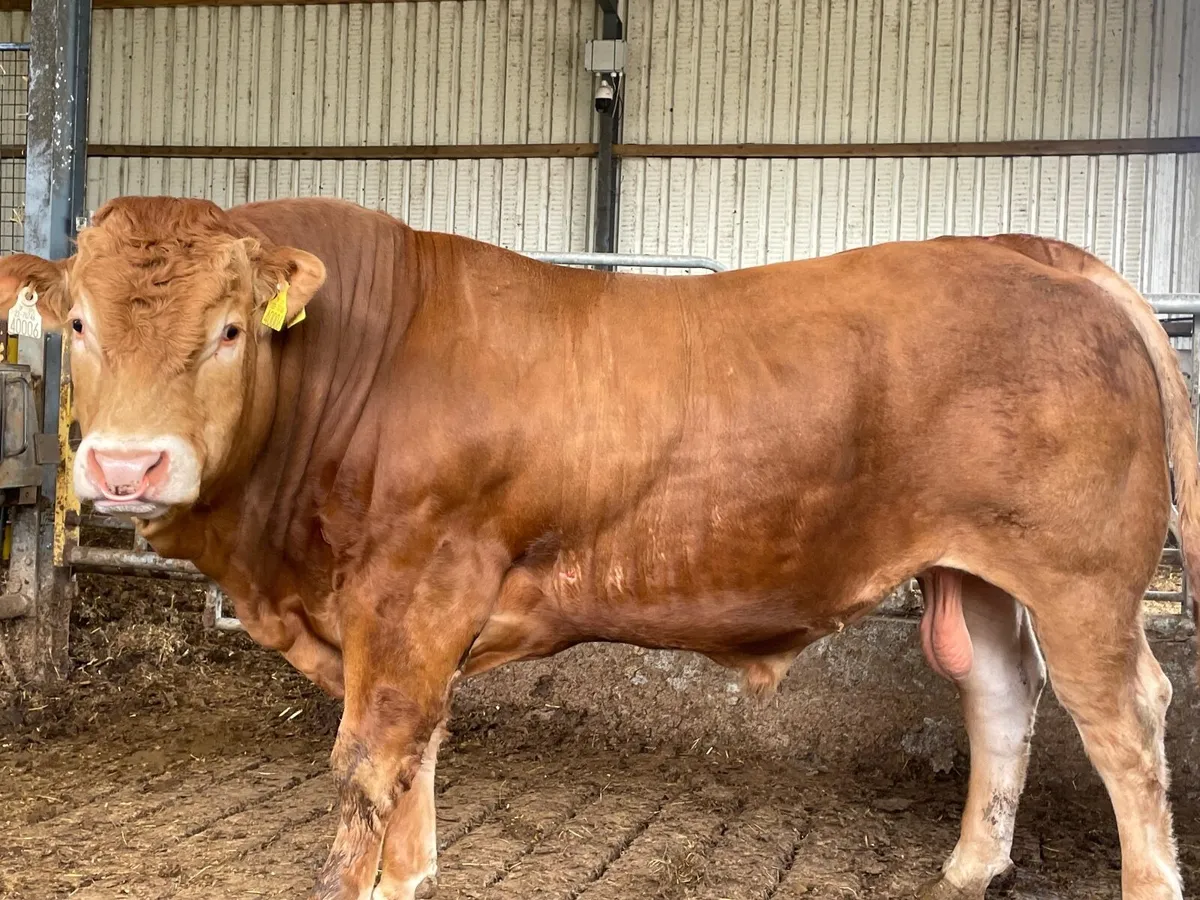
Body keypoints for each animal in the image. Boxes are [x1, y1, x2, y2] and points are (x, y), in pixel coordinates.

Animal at [0, 195, 1194, 900]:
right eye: (79, 324)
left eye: (232, 328)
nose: (126, 467)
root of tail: (1040, 251)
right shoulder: (402, 623)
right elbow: (416, 756)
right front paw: (410, 877)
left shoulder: (415, 589)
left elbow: (368, 767)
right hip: (980, 568)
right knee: (1001, 692)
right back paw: (967, 867)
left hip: (1082, 575)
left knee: (1124, 719)